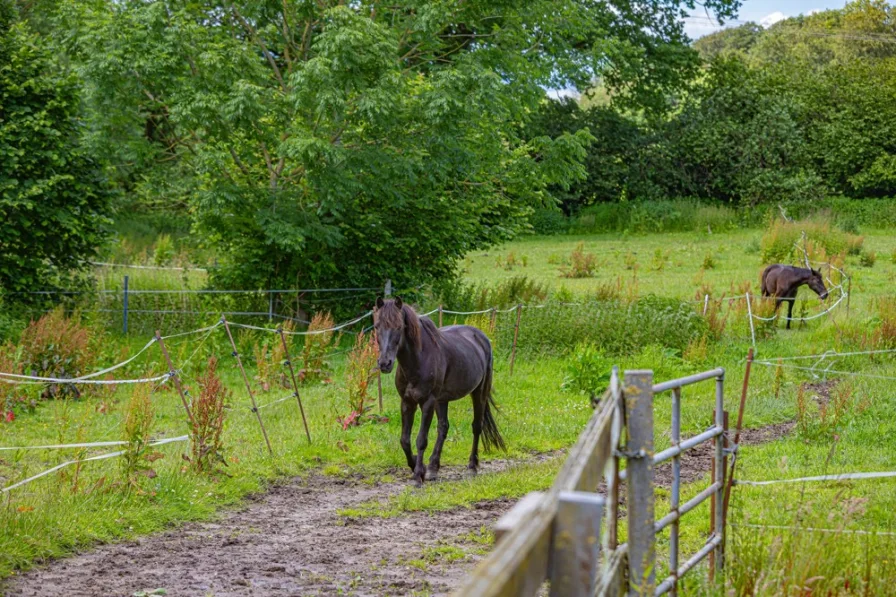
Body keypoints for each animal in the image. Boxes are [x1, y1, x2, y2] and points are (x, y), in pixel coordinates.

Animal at [374, 296, 508, 486]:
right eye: (377, 326)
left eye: (399, 327)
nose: (385, 363)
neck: (418, 360)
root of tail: (481, 337)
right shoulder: (407, 402)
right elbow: (405, 440)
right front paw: (419, 467)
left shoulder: (428, 402)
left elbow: (421, 439)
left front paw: (417, 475)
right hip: (442, 400)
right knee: (443, 428)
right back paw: (433, 468)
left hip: (479, 393)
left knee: (477, 426)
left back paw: (472, 467)